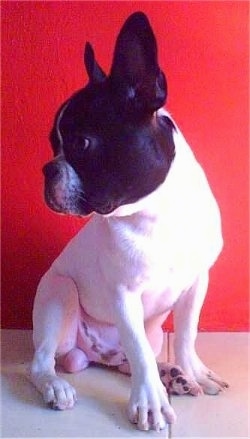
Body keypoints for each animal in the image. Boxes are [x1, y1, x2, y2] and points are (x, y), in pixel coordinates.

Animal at [29, 12, 229, 432]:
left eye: (81, 143)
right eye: (54, 145)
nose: (47, 168)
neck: (157, 212)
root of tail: (92, 355)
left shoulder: (197, 282)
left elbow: (186, 334)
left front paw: (193, 370)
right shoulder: (124, 294)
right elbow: (138, 352)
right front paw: (150, 404)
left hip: (148, 331)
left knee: (130, 359)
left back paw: (174, 374)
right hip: (59, 293)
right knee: (45, 362)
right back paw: (56, 386)